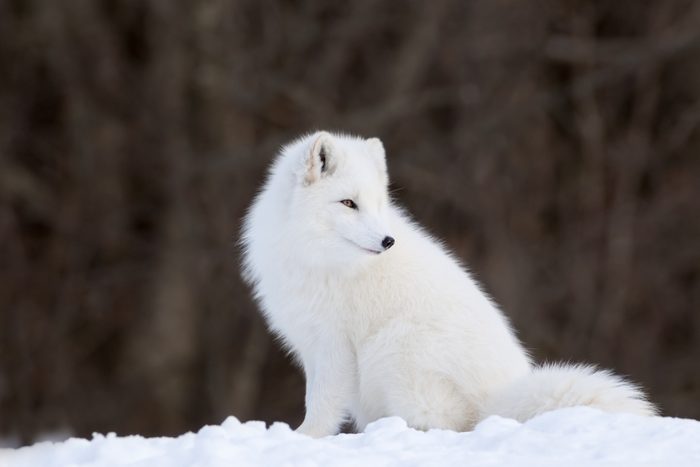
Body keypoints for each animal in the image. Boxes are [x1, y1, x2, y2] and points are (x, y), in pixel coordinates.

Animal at [240, 131, 657, 438]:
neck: (314, 256)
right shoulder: (310, 343)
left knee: (446, 424)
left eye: (376, 204)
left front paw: (302, 438)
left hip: (393, 347)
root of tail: (496, 404)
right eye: (348, 203)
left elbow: (322, 404)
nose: (388, 241)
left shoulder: (333, 345)